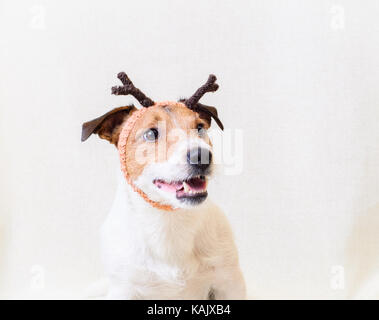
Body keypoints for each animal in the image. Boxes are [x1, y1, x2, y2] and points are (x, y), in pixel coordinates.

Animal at [81, 72, 246, 300]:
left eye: (200, 128)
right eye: (151, 134)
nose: (202, 156)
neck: (169, 221)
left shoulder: (229, 282)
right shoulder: (124, 288)